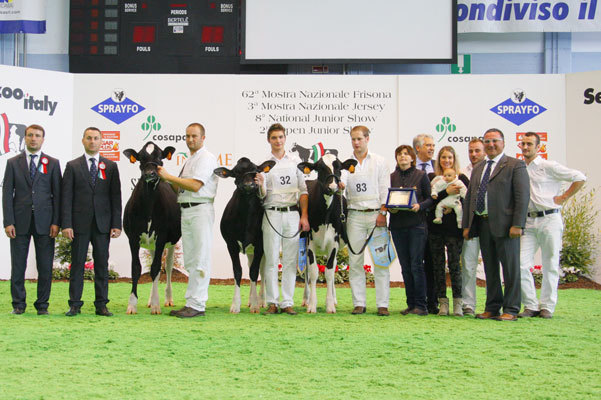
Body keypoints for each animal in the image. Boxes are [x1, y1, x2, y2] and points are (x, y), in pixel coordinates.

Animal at [122, 142, 181, 315]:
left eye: (159, 157)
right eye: (141, 158)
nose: (150, 173)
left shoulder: (161, 236)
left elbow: (156, 268)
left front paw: (156, 305)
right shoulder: (133, 237)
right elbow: (136, 268)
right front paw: (132, 305)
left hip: (172, 241)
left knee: (167, 266)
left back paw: (167, 299)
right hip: (151, 243)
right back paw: (149, 300)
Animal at [214, 157, 276, 313]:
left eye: (255, 171)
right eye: (236, 172)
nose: (248, 185)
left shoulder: (260, 245)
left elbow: (254, 272)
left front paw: (255, 305)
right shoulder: (231, 244)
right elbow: (238, 271)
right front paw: (236, 305)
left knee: (263, 271)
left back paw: (261, 300)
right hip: (249, 251)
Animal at [297, 154, 357, 313]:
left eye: (339, 167)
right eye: (320, 168)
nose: (333, 187)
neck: (324, 216)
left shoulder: (334, 244)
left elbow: (329, 272)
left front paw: (329, 304)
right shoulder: (310, 243)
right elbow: (313, 272)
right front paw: (312, 304)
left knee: (334, 266)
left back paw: (334, 299)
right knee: (306, 271)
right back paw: (306, 299)